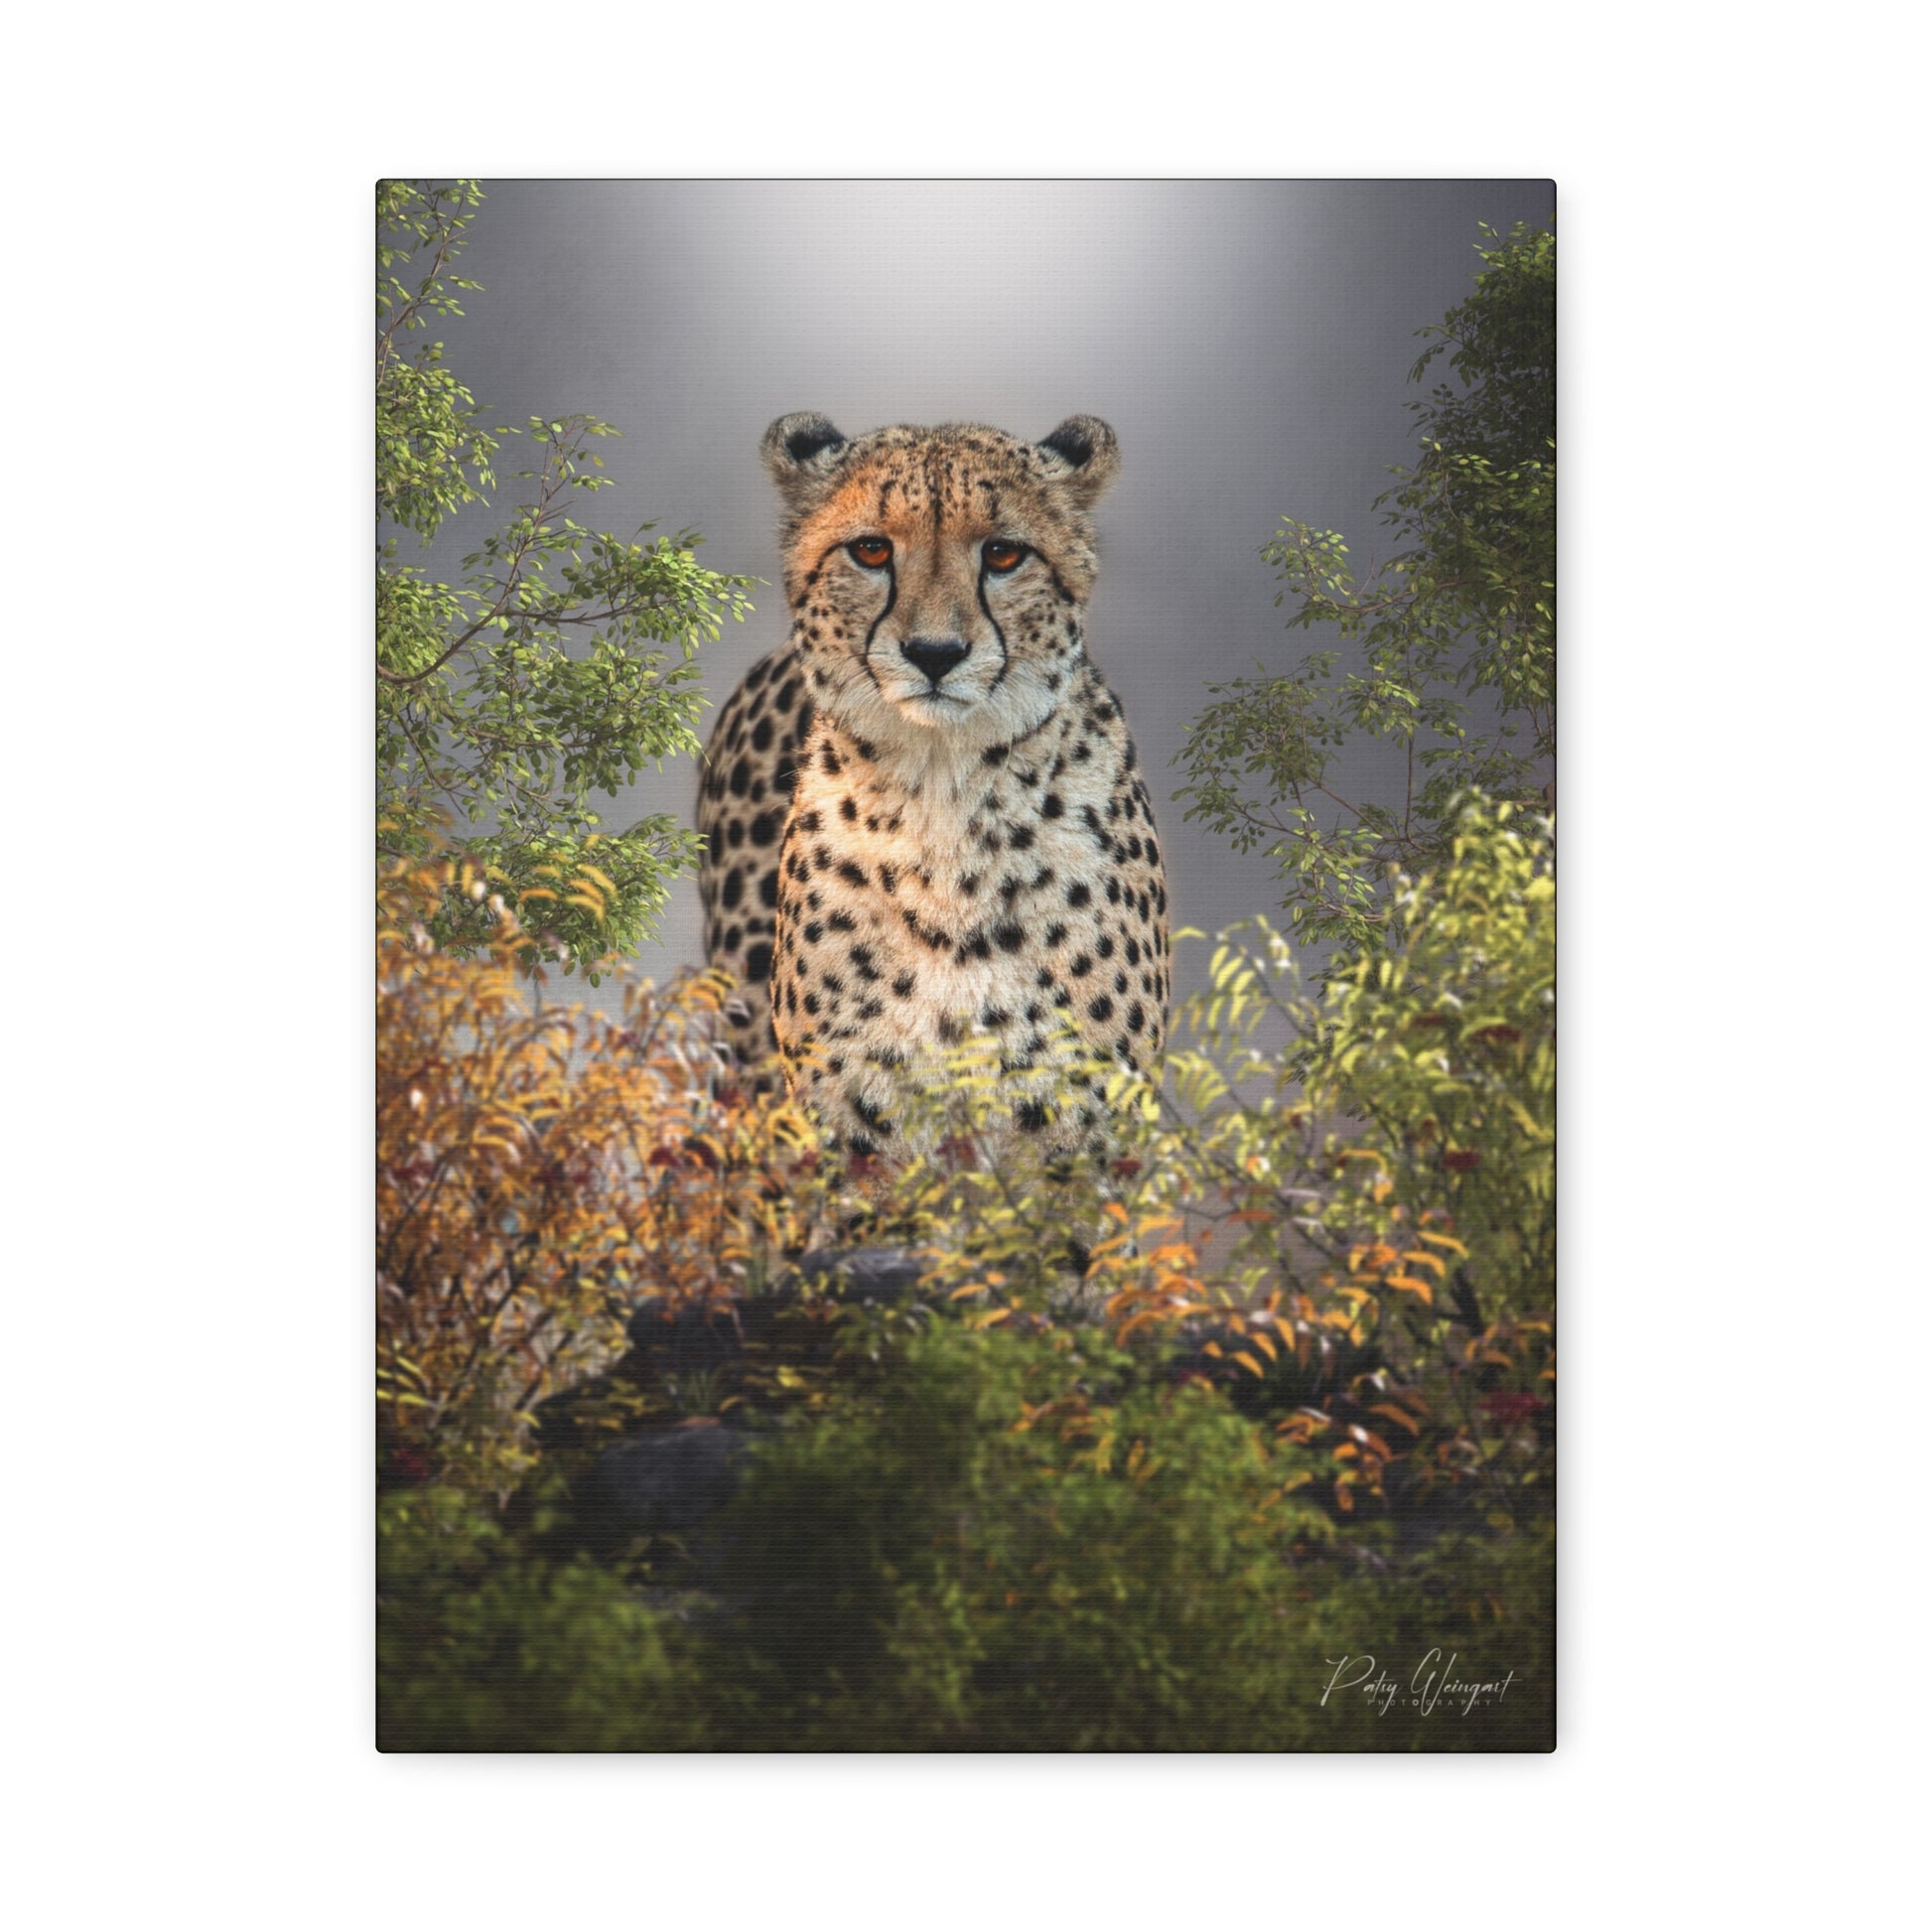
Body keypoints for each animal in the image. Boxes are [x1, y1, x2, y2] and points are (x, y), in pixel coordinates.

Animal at [697, 412, 1169, 1158]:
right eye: (870, 550)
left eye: (1003, 554)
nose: (935, 653)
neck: (945, 795)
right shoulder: (852, 1127)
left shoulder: (1083, 1131)